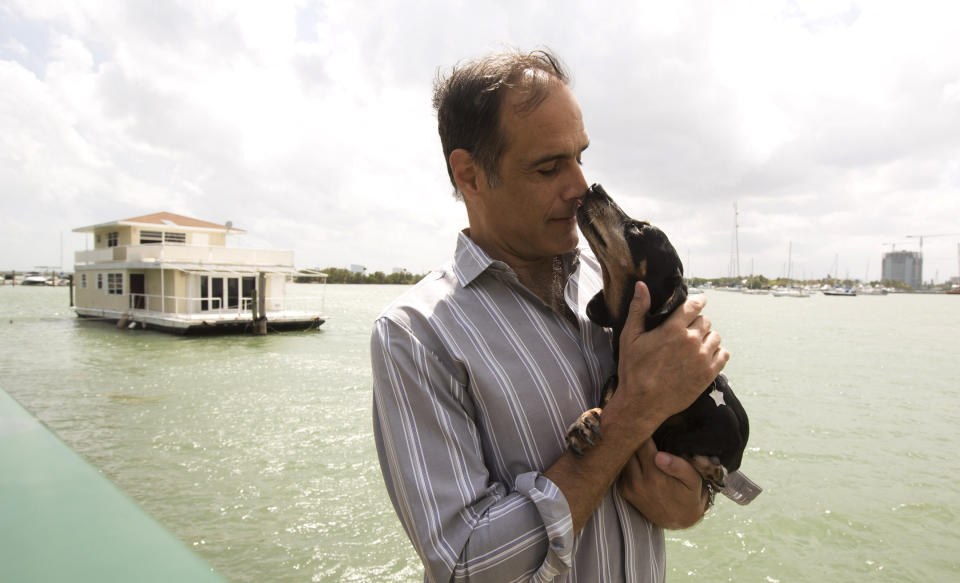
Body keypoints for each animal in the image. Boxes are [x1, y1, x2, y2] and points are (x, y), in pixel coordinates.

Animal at [568, 184, 756, 506]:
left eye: (638, 229)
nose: (594, 186)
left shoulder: (726, 428)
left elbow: (676, 439)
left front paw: (709, 467)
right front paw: (586, 420)